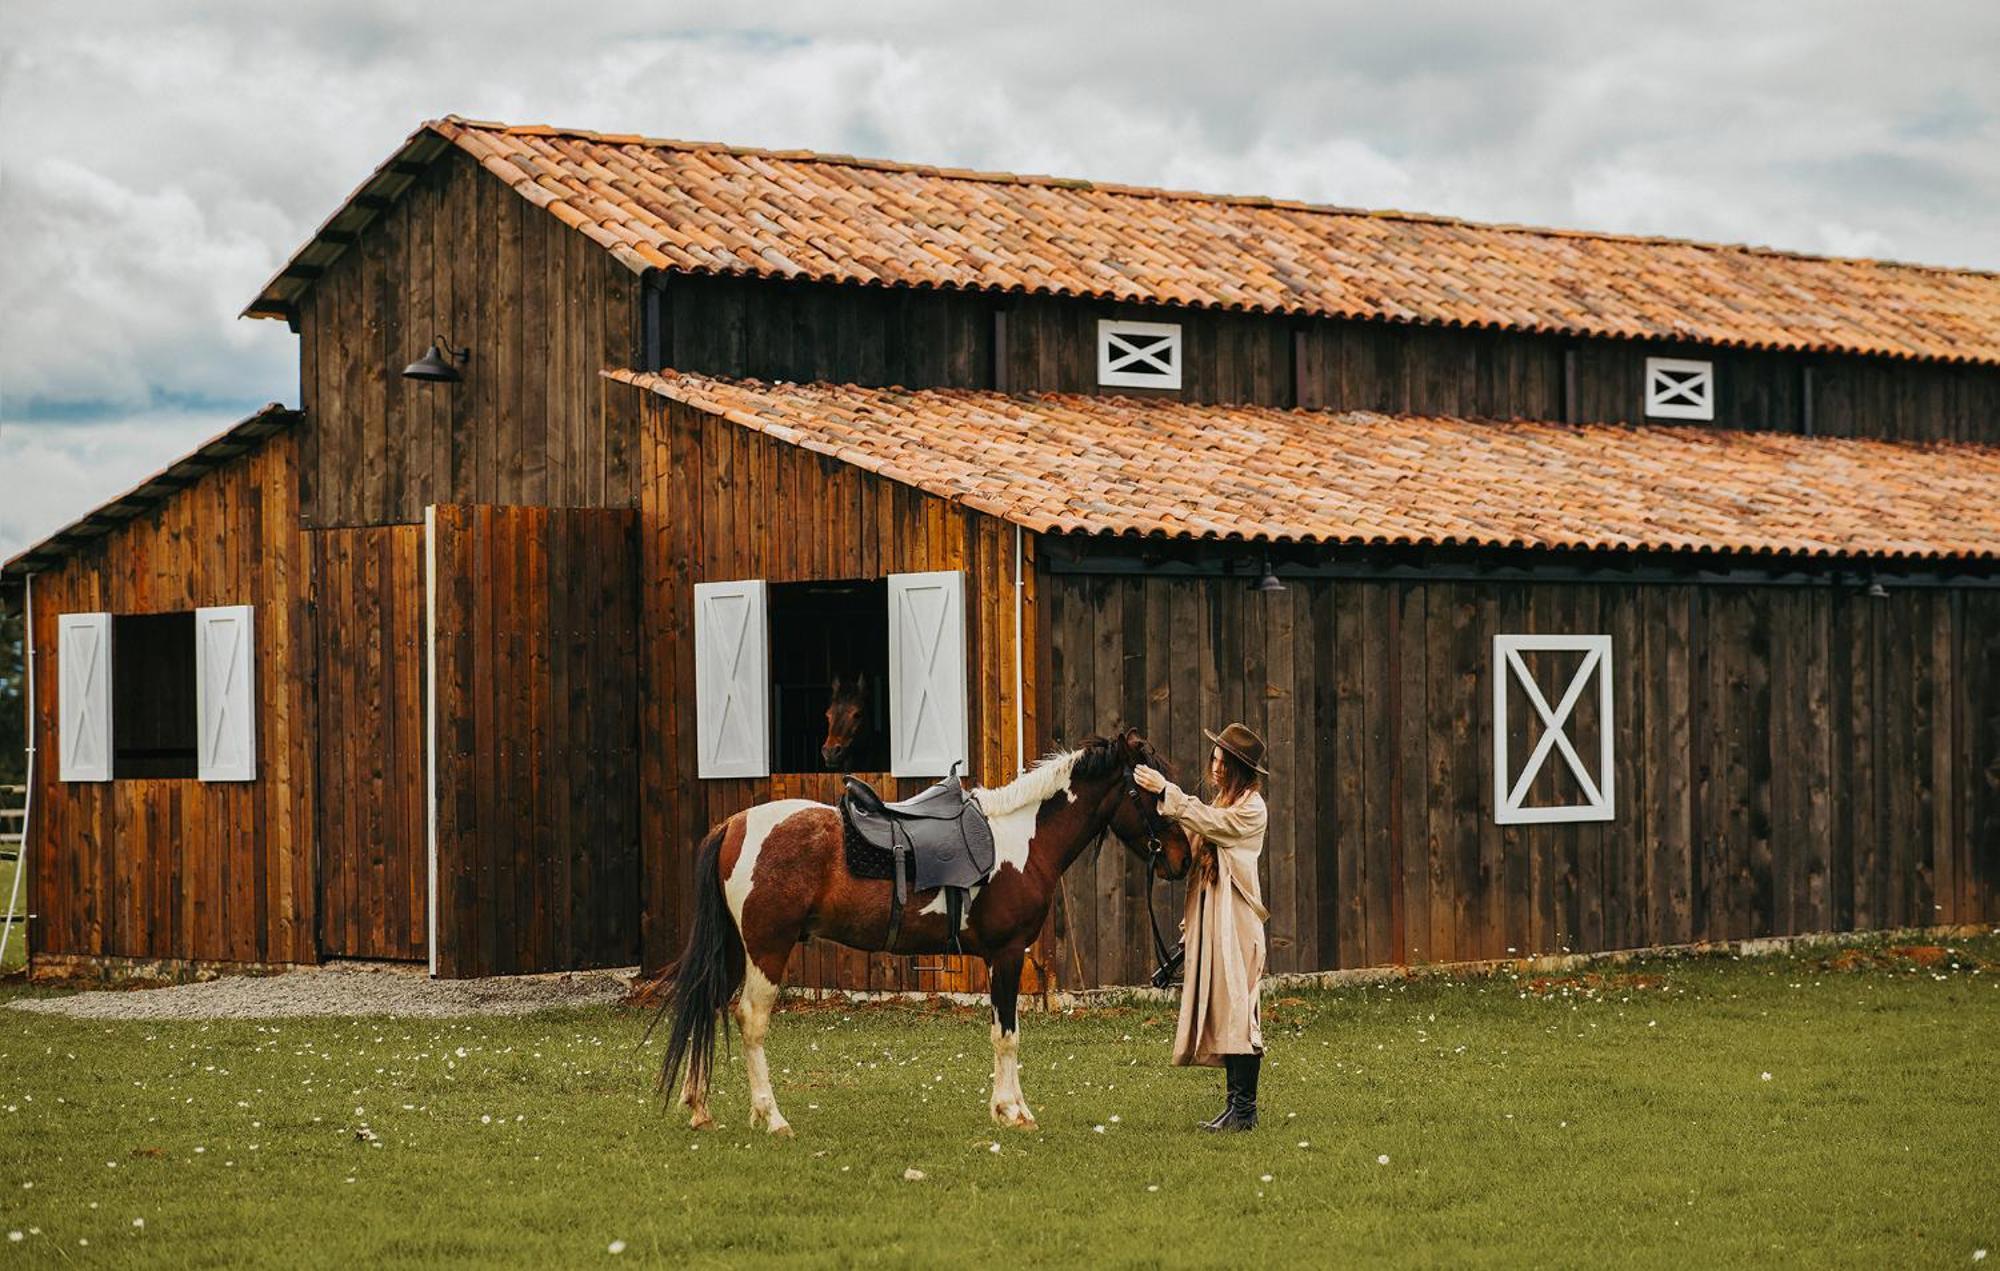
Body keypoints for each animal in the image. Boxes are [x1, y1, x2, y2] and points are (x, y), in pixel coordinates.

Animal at [652, 731, 1184, 1135]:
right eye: (1154, 790)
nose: (1181, 859)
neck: (1022, 838)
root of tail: (733, 824)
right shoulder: (1007, 954)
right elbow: (1007, 1036)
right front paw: (1012, 1112)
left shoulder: (1001, 959)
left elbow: (1004, 1030)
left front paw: (1011, 1108)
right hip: (767, 949)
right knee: (751, 1020)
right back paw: (772, 1117)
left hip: (735, 950)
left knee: (707, 1002)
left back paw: (699, 1106)